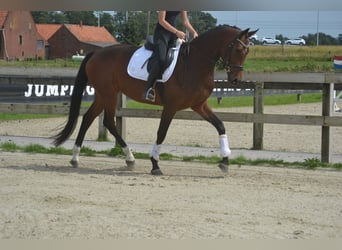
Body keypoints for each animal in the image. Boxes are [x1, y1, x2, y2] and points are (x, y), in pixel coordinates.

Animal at [52, 24, 256, 175]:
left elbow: (220, 125)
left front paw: (225, 160)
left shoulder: (199, 105)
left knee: (88, 118)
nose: (236, 79)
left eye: (247, 52)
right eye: (238, 49)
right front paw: (155, 164)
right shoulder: (171, 106)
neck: (195, 63)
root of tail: (96, 53)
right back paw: (129, 158)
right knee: (108, 121)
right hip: (108, 94)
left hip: (104, 94)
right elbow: (161, 133)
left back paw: (76, 158)